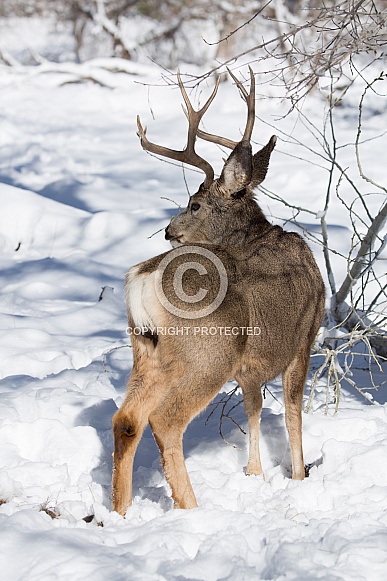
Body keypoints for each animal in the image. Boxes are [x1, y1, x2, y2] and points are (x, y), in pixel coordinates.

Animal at [111, 65, 324, 516]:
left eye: (194, 204)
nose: (169, 230)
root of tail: (144, 276)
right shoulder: (303, 338)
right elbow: (292, 411)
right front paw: (298, 477)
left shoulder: (250, 365)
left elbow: (254, 409)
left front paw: (254, 475)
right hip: (208, 353)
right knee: (164, 421)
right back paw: (190, 508)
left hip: (148, 350)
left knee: (127, 419)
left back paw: (119, 512)